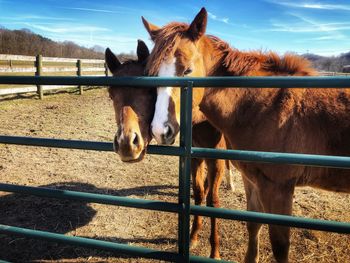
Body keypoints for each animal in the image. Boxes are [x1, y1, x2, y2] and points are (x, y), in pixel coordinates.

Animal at [142, 7, 350, 263]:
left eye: (188, 70)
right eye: (152, 73)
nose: (160, 129)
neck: (268, 106)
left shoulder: (278, 189)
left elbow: (280, 245)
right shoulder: (252, 181)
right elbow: (253, 225)